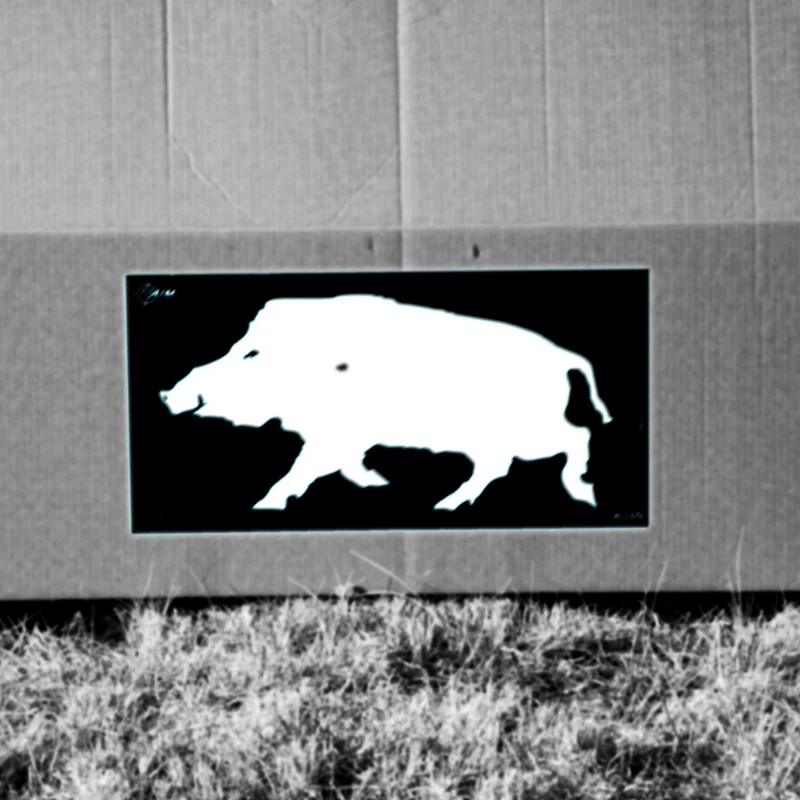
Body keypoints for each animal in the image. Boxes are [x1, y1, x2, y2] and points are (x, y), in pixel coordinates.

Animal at [159, 294, 612, 511]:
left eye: (249, 353)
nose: (166, 394)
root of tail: (564, 356)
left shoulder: (333, 432)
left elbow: (300, 469)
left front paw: (263, 506)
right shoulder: (344, 436)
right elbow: (342, 463)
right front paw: (381, 484)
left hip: (528, 430)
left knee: (578, 435)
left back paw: (582, 493)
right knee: (499, 466)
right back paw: (444, 506)